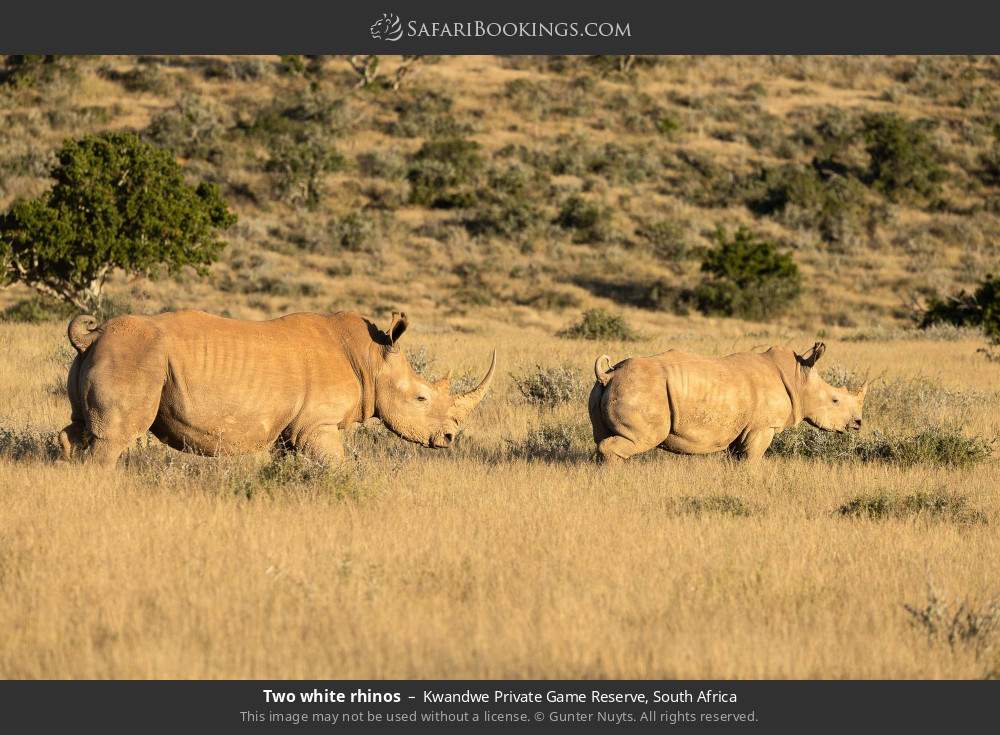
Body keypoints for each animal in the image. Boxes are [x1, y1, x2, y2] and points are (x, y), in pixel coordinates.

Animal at [59, 310, 496, 466]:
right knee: (112, 441)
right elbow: (337, 467)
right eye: (421, 397)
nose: (450, 438)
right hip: (135, 357)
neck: (372, 360)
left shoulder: (292, 428)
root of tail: (92, 337)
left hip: (109, 355)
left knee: (79, 430)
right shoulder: (317, 425)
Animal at [589, 342, 867, 464]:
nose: (858, 423)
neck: (799, 378)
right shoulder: (762, 427)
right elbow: (752, 459)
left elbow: (738, 459)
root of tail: (607, 375)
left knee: (601, 437)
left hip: (609, 390)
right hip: (644, 390)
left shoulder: (742, 429)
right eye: (835, 400)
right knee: (642, 438)